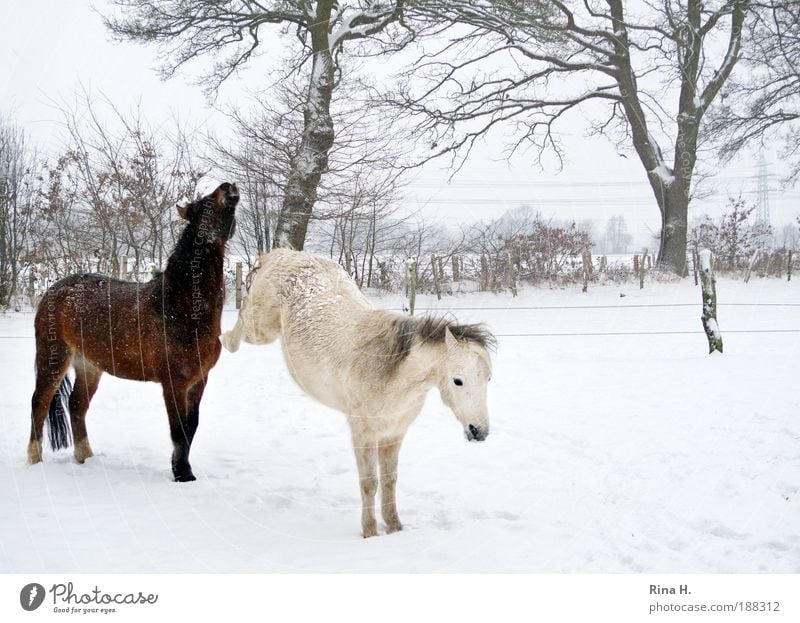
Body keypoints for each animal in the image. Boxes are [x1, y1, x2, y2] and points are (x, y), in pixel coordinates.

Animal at [28, 182, 241, 482]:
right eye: (204, 204)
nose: (228, 186)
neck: (179, 305)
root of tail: (52, 292)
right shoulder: (174, 383)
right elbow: (178, 430)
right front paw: (182, 474)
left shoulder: (199, 380)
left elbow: (191, 427)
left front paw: (181, 469)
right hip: (53, 357)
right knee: (40, 402)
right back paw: (34, 460)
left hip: (89, 365)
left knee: (77, 405)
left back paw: (86, 457)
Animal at [223, 249, 494, 536]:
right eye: (458, 381)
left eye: (488, 378)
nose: (479, 431)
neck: (392, 374)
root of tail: (286, 254)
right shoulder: (363, 435)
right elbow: (369, 483)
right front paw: (370, 532)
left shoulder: (394, 434)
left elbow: (389, 480)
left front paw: (395, 527)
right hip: (260, 329)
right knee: (241, 319)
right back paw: (223, 339)